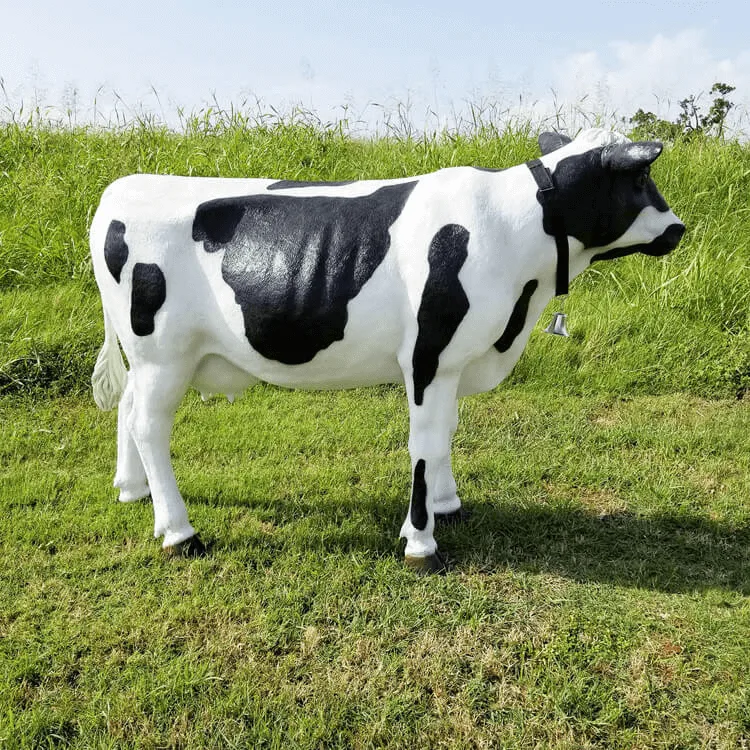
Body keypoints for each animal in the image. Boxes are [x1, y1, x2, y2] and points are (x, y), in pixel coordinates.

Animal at [90, 128, 685, 573]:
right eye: (641, 177)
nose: (678, 228)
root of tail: (121, 188)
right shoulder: (427, 357)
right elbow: (424, 445)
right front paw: (421, 544)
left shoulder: (455, 361)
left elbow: (447, 435)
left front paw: (448, 506)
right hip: (163, 355)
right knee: (148, 425)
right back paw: (179, 533)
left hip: (148, 360)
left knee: (127, 410)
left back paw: (133, 492)